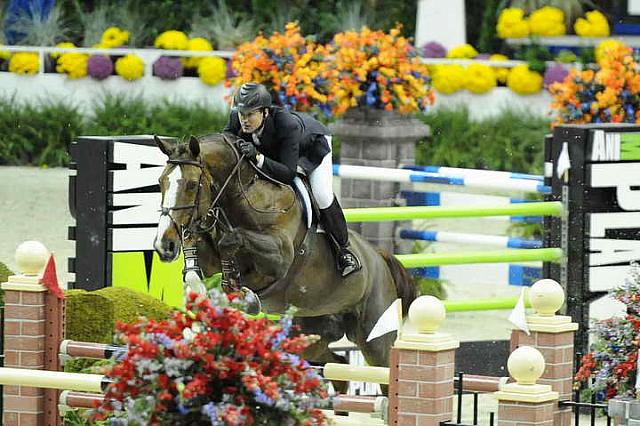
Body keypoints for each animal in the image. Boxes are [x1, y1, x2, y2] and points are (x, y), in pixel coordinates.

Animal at [152, 133, 418, 376]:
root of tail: (381, 258)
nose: (164, 245)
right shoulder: (208, 257)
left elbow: (234, 240)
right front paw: (197, 321)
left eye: (190, 185)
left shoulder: (279, 258)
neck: (245, 197)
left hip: (376, 339)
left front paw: (243, 297)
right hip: (312, 332)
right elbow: (196, 269)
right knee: (336, 362)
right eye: (161, 182)